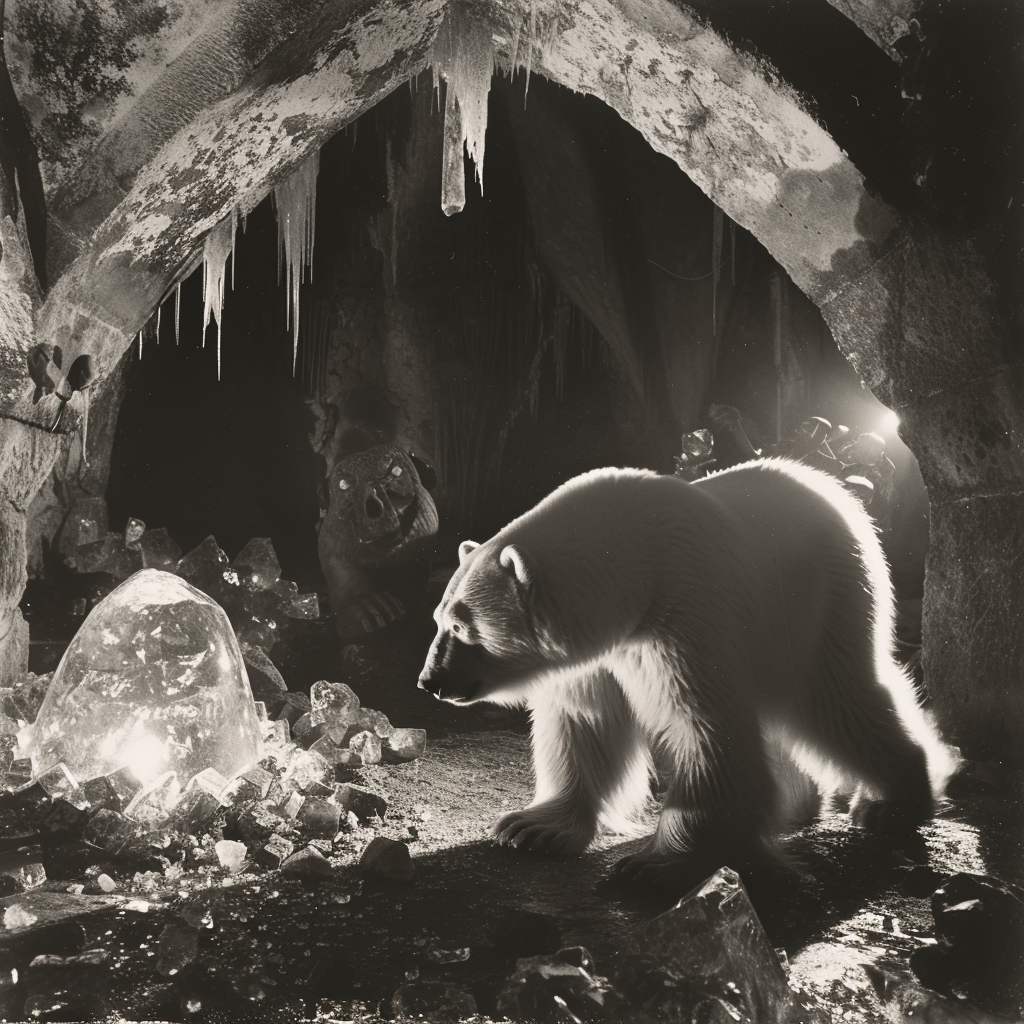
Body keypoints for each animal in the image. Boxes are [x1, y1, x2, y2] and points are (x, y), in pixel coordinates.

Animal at [417, 458, 950, 888]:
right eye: (438, 619)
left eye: (462, 628)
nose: (430, 682)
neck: (638, 572)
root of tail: (838, 493)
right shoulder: (598, 652)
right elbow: (584, 721)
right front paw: (529, 828)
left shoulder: (685, 617)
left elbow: (703, 725)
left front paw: (654, 865)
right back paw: (798, 804)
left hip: (819, 603)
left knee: (838, 701)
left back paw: (892, 802)